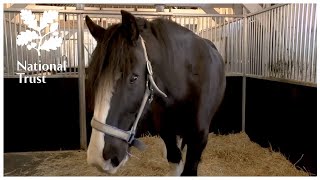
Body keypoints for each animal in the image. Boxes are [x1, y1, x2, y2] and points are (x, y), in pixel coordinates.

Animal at [85, 10, 225, 176]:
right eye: (94, 78)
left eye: (134, 77)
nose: (98, 157)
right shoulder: (166, 131)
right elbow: (174, 159)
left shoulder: (199, 137)